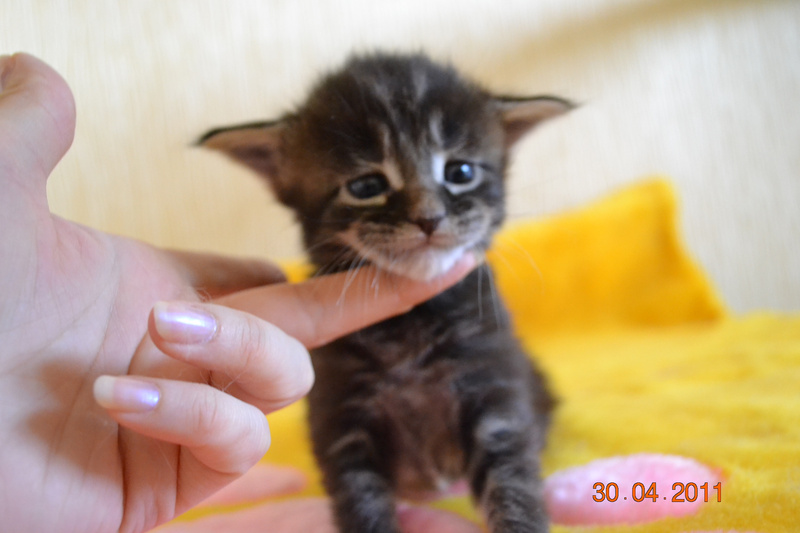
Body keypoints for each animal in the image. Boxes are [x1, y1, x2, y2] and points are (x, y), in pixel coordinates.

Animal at [199, 52, 572, 533]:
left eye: (461, 173)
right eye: (365, 187)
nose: (429, 218)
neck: (409, 327)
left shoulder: (494, 388)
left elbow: (513, 481)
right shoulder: (341, 415)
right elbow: (362, 498)